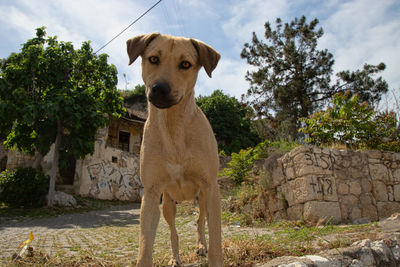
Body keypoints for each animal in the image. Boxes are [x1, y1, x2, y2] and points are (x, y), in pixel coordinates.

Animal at [126, 34, 223, 267]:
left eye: (185, 64)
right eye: (153, 59)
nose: (160, 88)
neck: (173, 127)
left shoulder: (210, 187)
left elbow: (215, 239)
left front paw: (210, 251)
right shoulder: (151, 193)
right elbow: (145, 246)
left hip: (203, 197)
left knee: (200, 220)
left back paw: (201, 246)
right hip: (168, 204)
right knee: (173, 232)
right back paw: (175, 257)